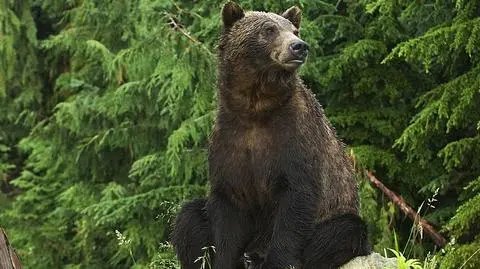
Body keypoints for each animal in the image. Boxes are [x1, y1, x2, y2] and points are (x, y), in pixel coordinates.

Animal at [173, 2, 372, 268]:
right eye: (269, 29)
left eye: (294, 30)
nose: (299, 46)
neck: (256, 109)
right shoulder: (229, 142)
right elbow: (227, 212)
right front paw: (225, 259)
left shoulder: (295, 139)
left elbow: (296, 201)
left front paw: (276, 260)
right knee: (189, 216)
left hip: (337, 217)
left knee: (342, 232)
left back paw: (257, 256)